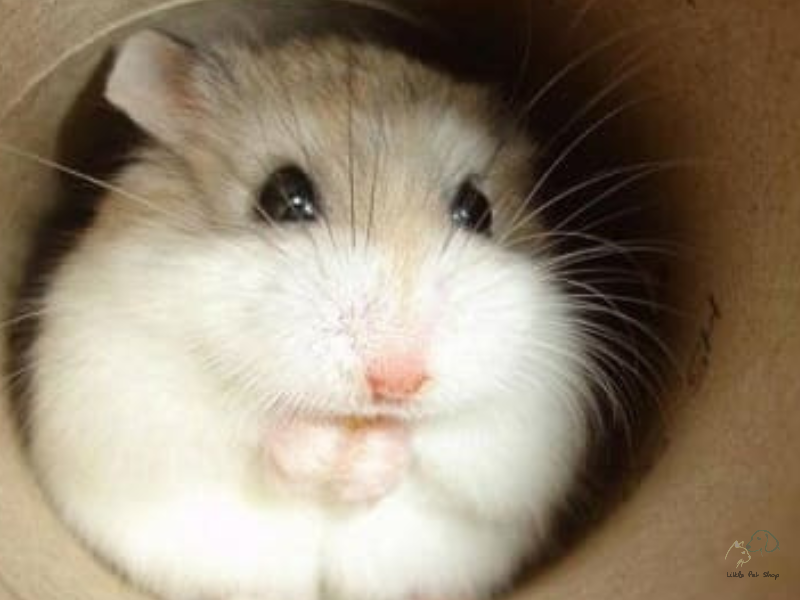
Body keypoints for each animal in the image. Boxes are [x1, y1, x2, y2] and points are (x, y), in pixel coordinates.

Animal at [22, 29, 598, 600]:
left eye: (479, 210)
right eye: (283, 196)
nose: (397, 382)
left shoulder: (538, 404)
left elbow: (441, 442)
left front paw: (363, 460)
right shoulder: (118, 374)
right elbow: (245, 422)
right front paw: (322, 454)